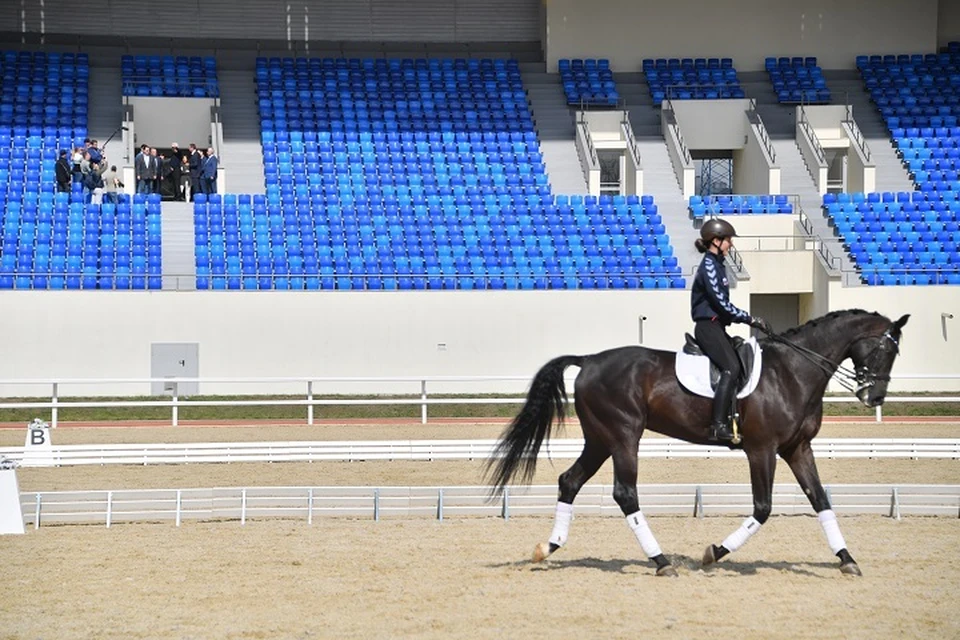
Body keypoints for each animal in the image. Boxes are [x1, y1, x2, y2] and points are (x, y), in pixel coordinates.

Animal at [488, 308, 908, 576]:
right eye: (885, 349)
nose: (875, 398)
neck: (792, 371)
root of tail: (590, 360)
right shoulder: (762, 449)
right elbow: (763, 508)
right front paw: (713, 554)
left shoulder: (797, 449)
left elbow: (821, 500)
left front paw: (847, 559)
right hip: (623, 436)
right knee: (625, 493)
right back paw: (661, 562)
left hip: (600, 439)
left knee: (570, 481)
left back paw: (548, 548)